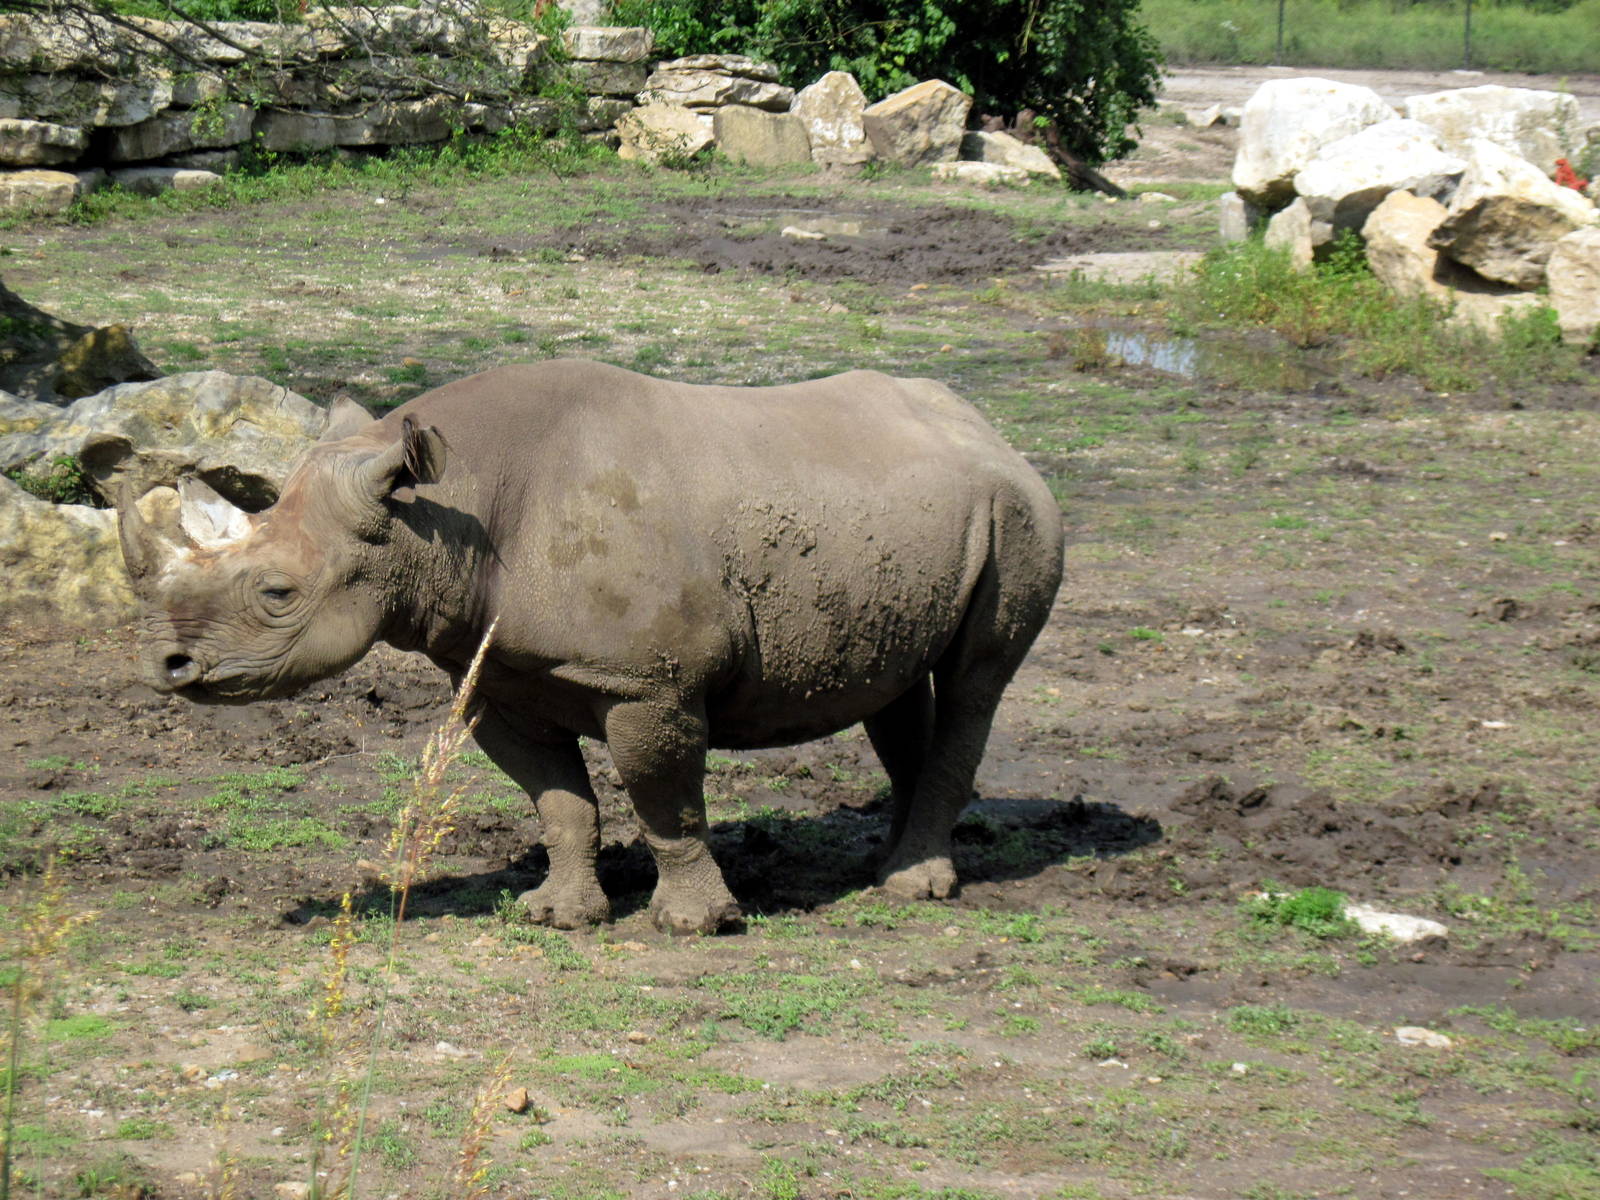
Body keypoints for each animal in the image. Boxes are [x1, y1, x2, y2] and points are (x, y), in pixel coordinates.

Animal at [116, 360, 1063, 934]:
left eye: (277, 595)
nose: (167, 667)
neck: (443, 513)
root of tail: (989, 427)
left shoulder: (650, 681)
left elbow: (665, 800)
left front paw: (694, 924)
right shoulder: (495, 673)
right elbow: (558, 801)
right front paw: (557, 915)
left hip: (1019, 510)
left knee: (976, 682)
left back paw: (913, 885)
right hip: (920, 517)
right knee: (900, 684)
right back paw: (886, 864)